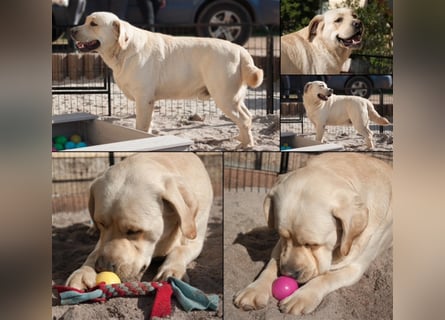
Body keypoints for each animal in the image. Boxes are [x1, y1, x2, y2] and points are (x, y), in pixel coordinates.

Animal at [64, 152, 213, 290]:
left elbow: (180, 250)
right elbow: (94, 253)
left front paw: (171, 270)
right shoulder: (101, 241)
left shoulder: (195, 240)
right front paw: (82, 272)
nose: (102, 267)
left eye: (134, 231)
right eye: (101, 223)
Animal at [70, 11, 262, 148]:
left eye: (93, 24)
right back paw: (242, 139)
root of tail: (241, 50)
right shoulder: (149, 101)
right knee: (248, 116)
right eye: (85, 21)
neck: (123, 49)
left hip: (224, 96)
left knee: (244, 119)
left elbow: (141, 127)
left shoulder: (143, 99)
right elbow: (147, 127)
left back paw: (246, 145)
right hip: (234, 97)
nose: (71, 31)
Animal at [234, 153, 390, 316]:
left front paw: (300, 297)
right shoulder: (279, 247)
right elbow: (271, 265)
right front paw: (254, 290)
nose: (288, 274)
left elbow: (326, 276)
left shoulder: (355, 267)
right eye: (283, 236)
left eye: (313, 244)